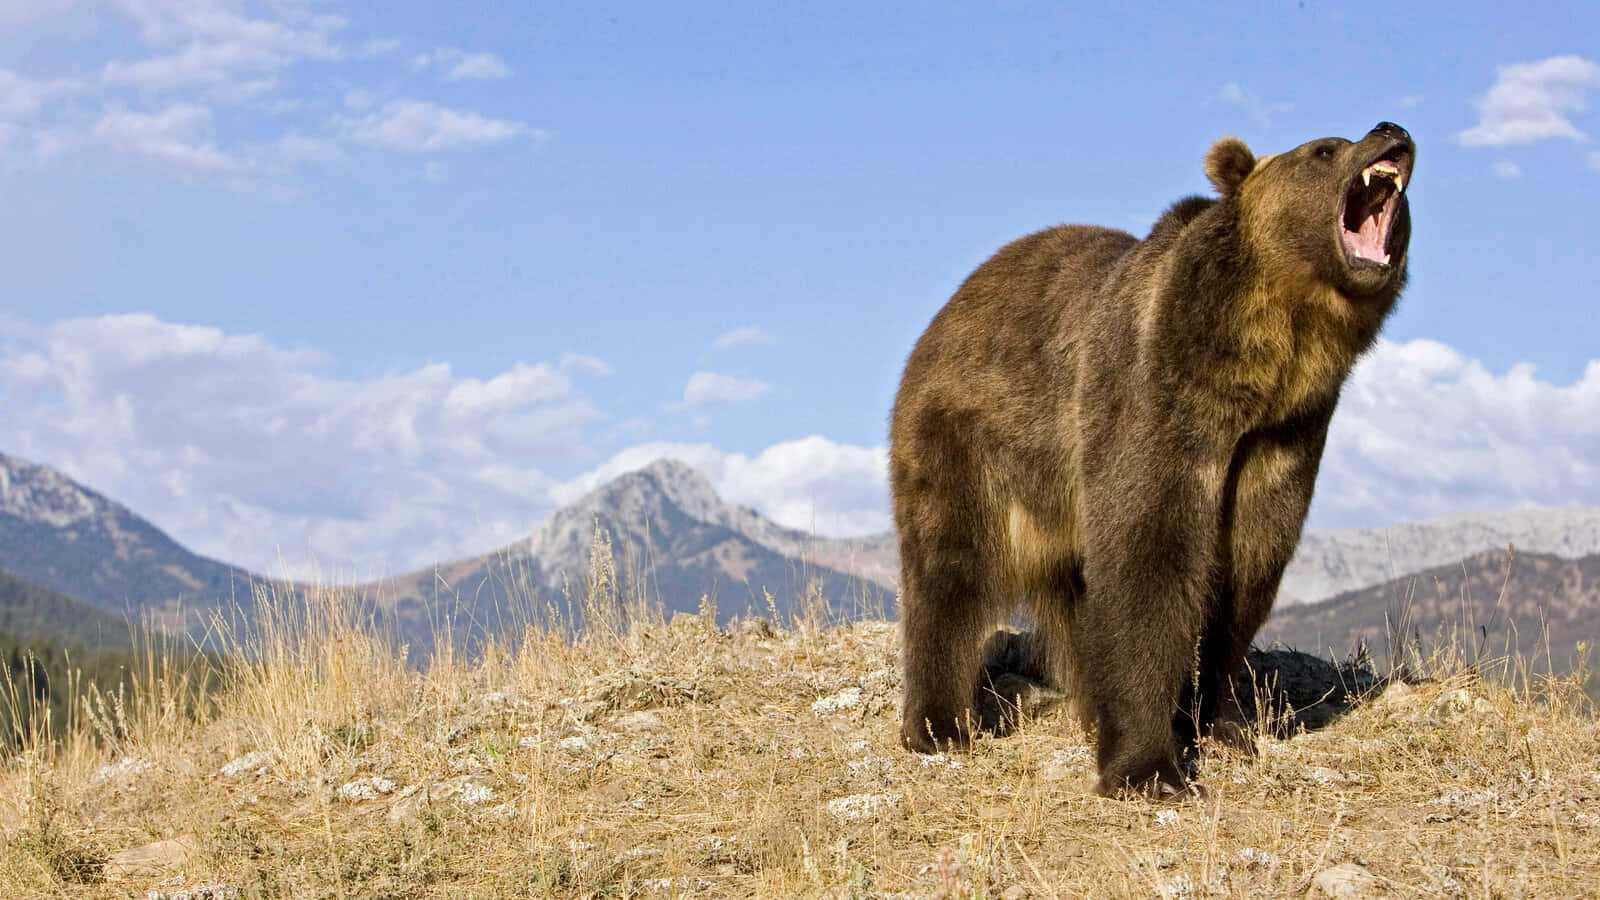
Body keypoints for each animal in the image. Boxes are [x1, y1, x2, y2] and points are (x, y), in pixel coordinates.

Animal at [890, 122, 1415, 798]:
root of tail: (951, 306)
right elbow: (1150, 555)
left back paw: (1090, 707)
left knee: (1074, 597)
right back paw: (939, 725)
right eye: (1324, 148)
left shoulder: (1285, 434)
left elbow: (1246, 568)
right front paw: (1150, 767)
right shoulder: (1157, 394)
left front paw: (1217, 721)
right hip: (970, 434)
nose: (1391, 130)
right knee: (949, 569)